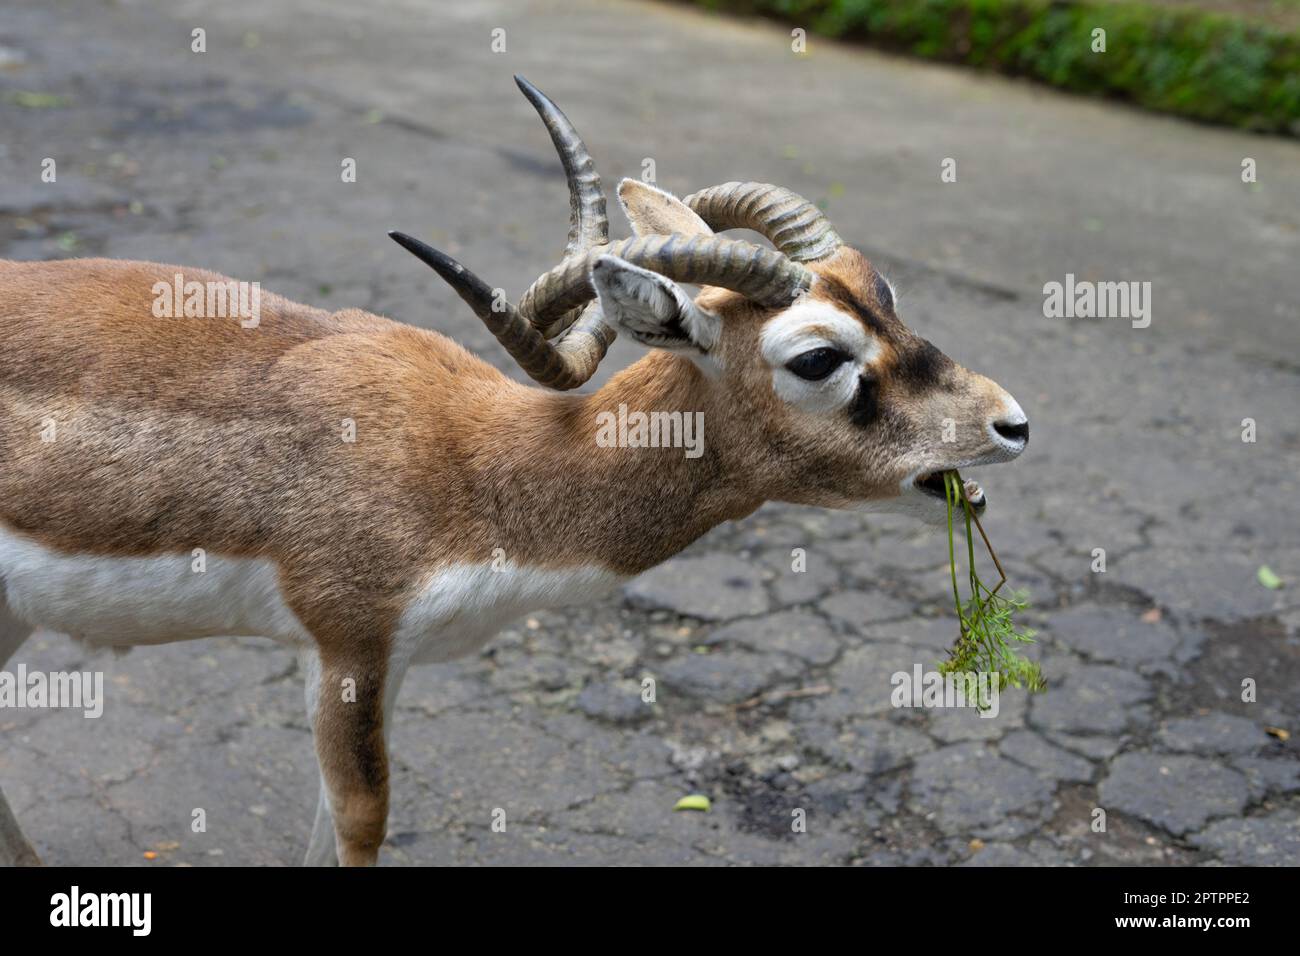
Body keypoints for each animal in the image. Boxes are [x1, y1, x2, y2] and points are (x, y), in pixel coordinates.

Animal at [2, 74, 1024, 868]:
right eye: (816, 357)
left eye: (884, 291)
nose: (1009, 423)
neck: (479, 466)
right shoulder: (349, 644)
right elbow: (363, 818)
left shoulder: (379, 660)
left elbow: (329, 821)